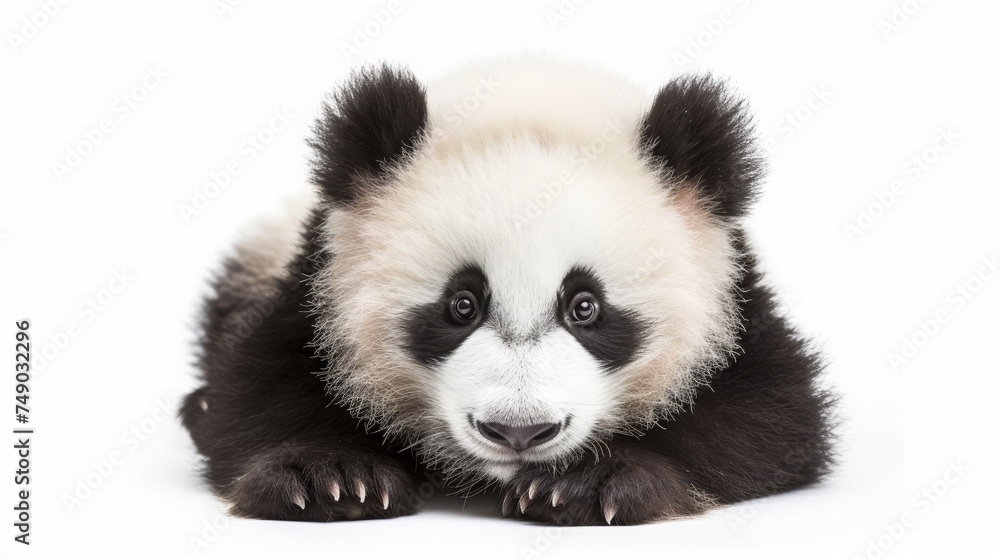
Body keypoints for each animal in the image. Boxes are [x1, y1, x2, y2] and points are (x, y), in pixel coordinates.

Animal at [181, 56, 835, 526]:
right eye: (461, 305)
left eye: (585, 307)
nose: (519, 432)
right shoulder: (316, 283)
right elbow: (258, 391)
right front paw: (331, 477)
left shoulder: (735, 298)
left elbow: (770, 416)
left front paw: (584, 484)